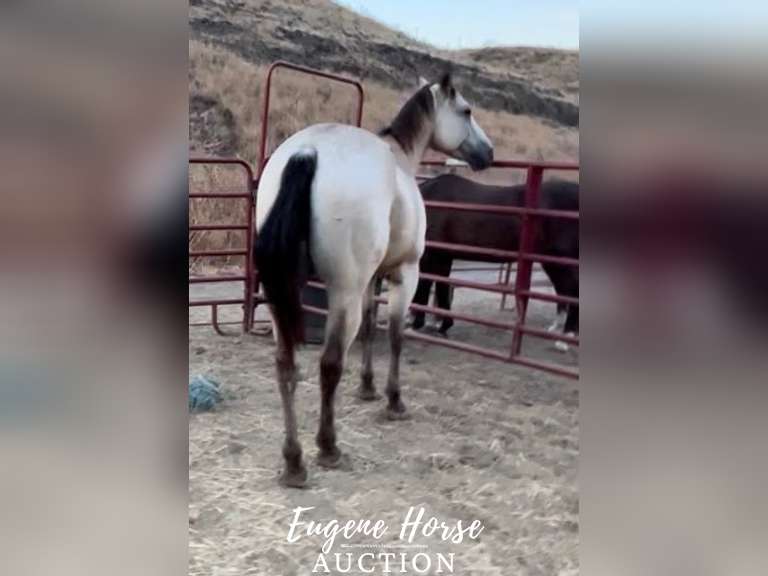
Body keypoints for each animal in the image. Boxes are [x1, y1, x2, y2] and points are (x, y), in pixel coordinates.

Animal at [255, 74, 493, 488]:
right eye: (466, 110)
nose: (488, 153)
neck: (400, 160)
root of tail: (307, 152)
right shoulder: (404, 274)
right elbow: (396, 336)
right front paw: (393, 399)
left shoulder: (371, 281)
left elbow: (369, 327)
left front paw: (366, 388)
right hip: (341, 294)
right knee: (329, 363)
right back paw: (328, 447)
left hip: (280, 295)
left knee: (286, 365)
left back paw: (294, 461)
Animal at [410, 174, 578, 342]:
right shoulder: (443, 256)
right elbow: (442, 286)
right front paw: (443, 326)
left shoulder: (430, 256)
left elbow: (424, 285)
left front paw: (416, 323)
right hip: (551, 260)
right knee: (563, 289)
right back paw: (556, 328)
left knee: (573, 290)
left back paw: (567, 336)